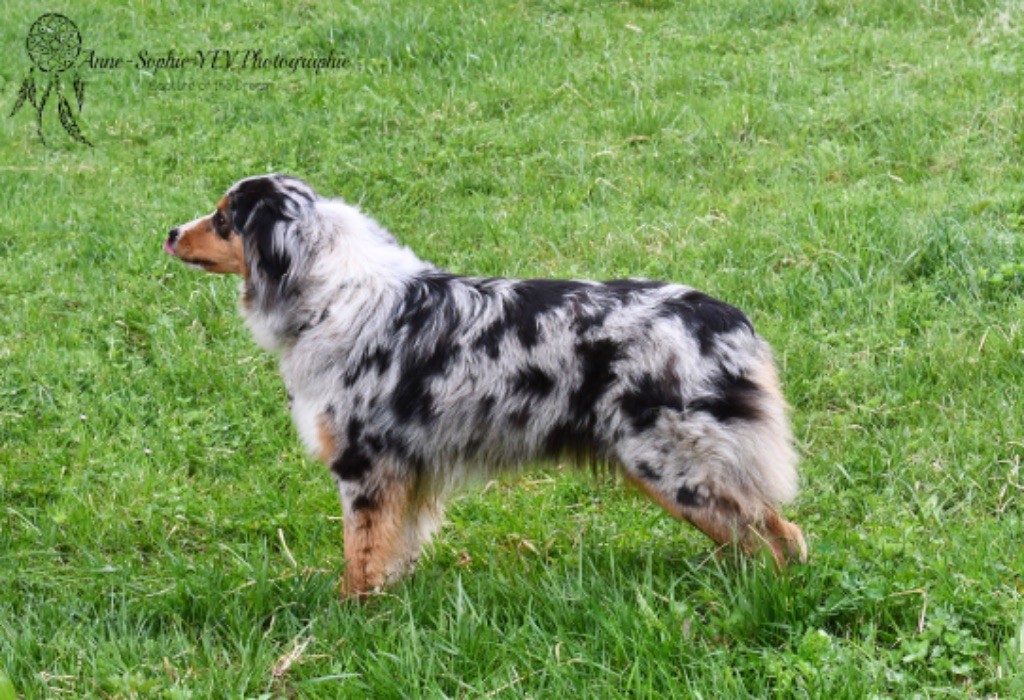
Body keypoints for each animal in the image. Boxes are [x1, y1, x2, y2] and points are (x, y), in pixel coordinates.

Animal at [167, 173, 806, 597]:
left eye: (223, 220)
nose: (171, 231)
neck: (329, 295)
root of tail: (725, 319)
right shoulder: (405, 473)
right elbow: (394, 550)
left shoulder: (365, 466)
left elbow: (361, 554)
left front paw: (349, 616)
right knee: (775, 533)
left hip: (674, 466)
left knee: (774, 535)